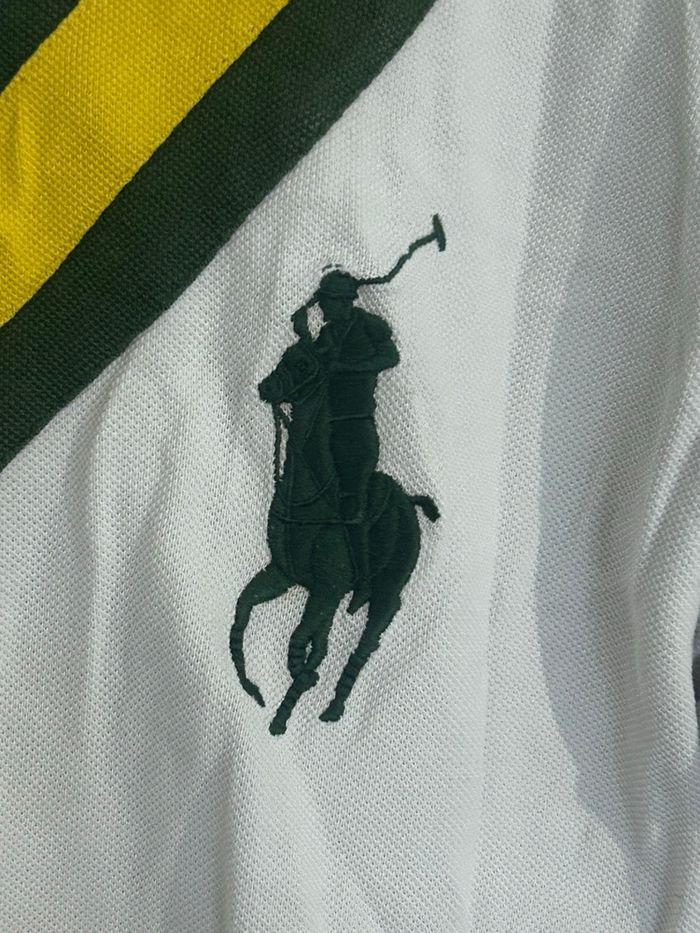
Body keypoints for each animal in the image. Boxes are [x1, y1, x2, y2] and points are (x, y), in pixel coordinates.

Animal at [229, 338, 439, 734]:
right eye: (284, 358)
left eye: (303, 365)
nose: (265, 388)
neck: (309, 494)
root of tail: (408, 500)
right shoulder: (287, 575)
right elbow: (244, 610)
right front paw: (256, 691)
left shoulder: (327, 585)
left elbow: (300, 641)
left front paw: (297, 683)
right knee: (326, 642)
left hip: (386, 590)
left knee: (366, 642)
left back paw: (333, 706)